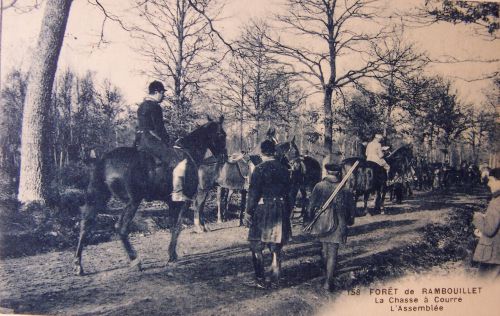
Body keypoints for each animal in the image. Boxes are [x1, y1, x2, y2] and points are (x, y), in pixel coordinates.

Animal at [74, 116, 227, 274]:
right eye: (222, 135)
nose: (224, 157)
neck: (189, 153)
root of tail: (105, 160)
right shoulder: (184, 202)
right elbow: (178, 226)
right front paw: (172, 255)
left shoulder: (171, 203)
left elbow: (173, 226)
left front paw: (172, 253)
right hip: (133, 201)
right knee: (120, 227)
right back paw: (135, 260)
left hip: (98, 199)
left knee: (85, 225)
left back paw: (78, 265)